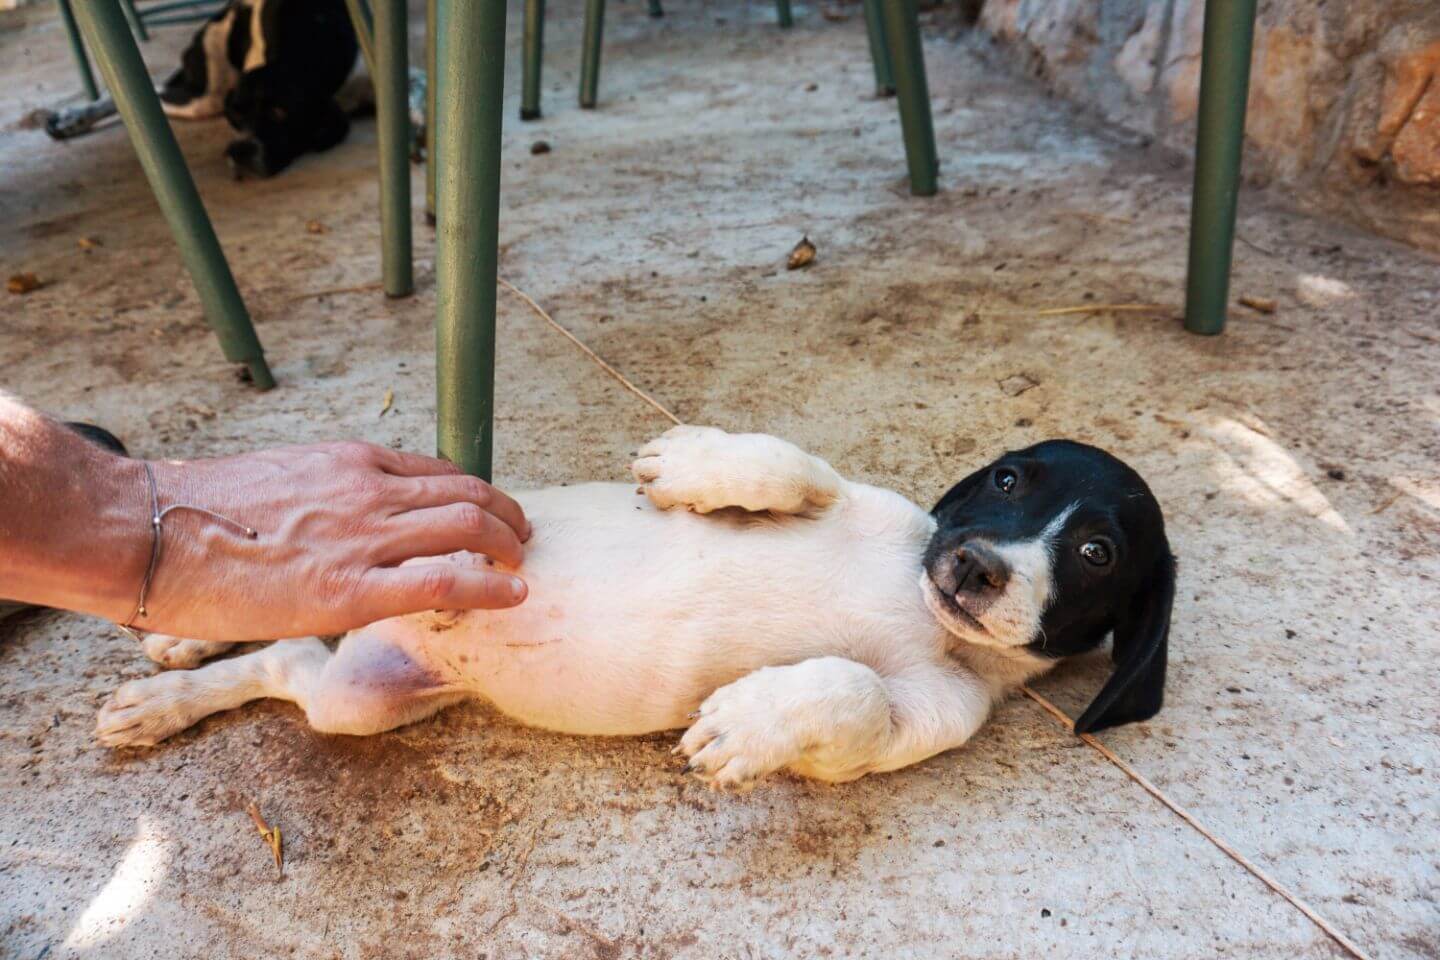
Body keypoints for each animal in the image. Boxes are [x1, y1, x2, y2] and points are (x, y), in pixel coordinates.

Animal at [95, 428, 1175, 788]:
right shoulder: (870, 506)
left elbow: (855, 693)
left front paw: (752, 721)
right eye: (1007, 480)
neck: (915, 603)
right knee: (290, 597)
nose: (976, 567)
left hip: (356, 696)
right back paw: (181, 637)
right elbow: (793, 466)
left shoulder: (927, 716)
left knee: (289, 661)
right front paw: (695, 464)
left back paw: (168, 695)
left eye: (1096, 553)